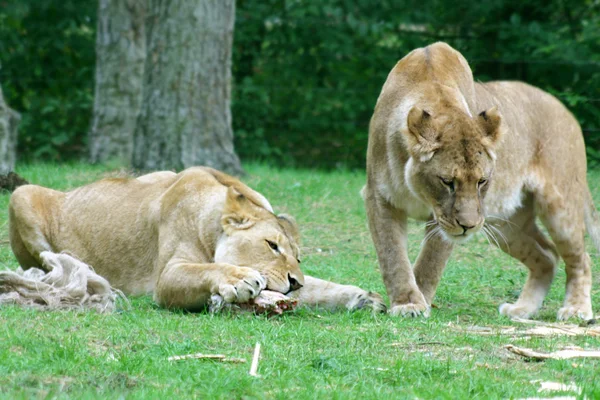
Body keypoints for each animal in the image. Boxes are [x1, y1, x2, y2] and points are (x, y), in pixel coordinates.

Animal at [9, 166, 384, 312]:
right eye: (271, 245)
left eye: (299, 257)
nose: (294, 281)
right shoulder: (166, 276)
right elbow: (206, 270)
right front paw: (237, 279)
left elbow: (322, 287)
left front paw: (364, 297)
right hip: (20, 194)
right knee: (45, 263)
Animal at [364, 42, 596, 320]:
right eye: (447, 181)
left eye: (482, 181)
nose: (468, 226)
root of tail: (565, 110)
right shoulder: (379, 198)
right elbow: (392, 256)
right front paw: (408, 302)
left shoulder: (441, 219)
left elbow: (431, 260)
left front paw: (418, 299)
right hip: (506, 225)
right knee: (547, 255)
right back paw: (521, 310)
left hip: (558, 206)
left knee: (581, 259)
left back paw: (576, 309)